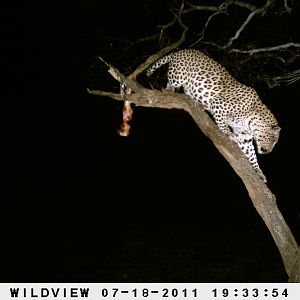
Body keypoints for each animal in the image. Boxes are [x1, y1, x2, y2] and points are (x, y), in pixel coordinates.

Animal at [146, 48, 280, 183]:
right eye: (273, 140)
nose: (268, 152)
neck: (251, 122)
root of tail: (181, 50)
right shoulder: (218, 105)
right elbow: (223, 124)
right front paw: (228, 134)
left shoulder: (244, 137)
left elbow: (251, 155)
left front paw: (259, 172)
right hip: (178, 75)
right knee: (170, 83)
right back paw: (170, 90)